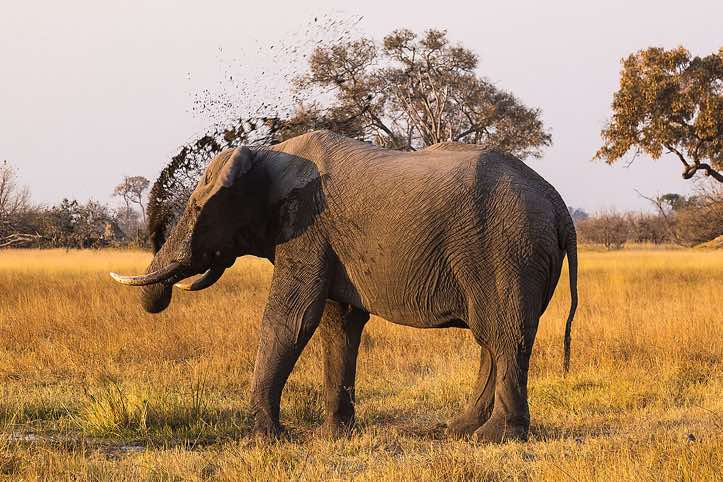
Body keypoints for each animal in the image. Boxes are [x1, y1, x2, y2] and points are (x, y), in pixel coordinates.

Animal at [110, 130, 578, 443]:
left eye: (195, 208)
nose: (162, 297)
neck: (268, 154)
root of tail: (559, 206)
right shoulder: (326, 241)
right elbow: (339, 324)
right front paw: (335, 435)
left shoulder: (307, 228)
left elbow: (291, 319)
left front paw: (267, 439)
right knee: (492, 340)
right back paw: (459, 430)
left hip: (507, 248)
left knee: (505, 336)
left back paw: (495, 437)